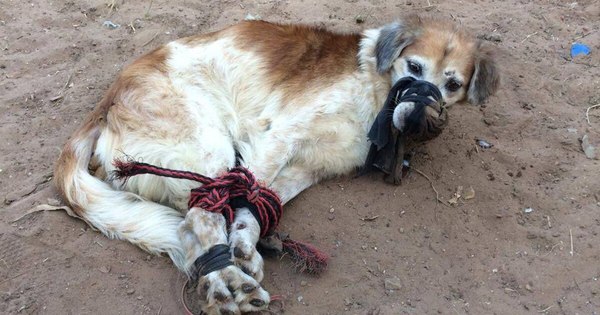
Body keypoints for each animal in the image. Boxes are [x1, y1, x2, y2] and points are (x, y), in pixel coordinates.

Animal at [55, 15, 496, 315]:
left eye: (452, 85)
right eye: (414, 68)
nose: (419, 118)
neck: (374, 89)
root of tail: (108, 100)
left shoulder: (309, 167)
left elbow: (256, 203)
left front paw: (246, 243)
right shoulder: (280, 134)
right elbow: (247, 193)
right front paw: (240, 253)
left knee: (195, 222)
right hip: (209, 147)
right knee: (197, 219)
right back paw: (227, 285)